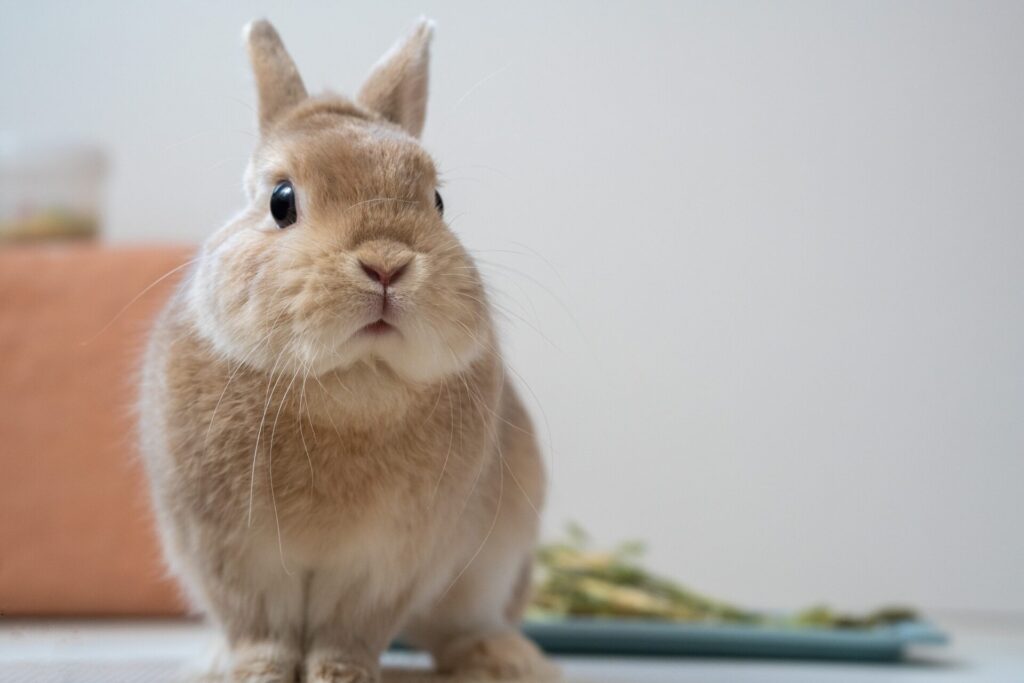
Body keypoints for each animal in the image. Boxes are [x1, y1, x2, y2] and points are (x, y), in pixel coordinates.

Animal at [138, 17, 552, 683]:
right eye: (281, 200)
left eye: (438, 201)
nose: (386, 264)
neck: (350, 381)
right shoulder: (229, 555)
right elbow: (261, 630)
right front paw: (258, 672)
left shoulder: (387, 566)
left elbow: (347, 632)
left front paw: (341, 673)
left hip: (495, 567)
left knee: (459, 628)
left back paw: (503, 658)